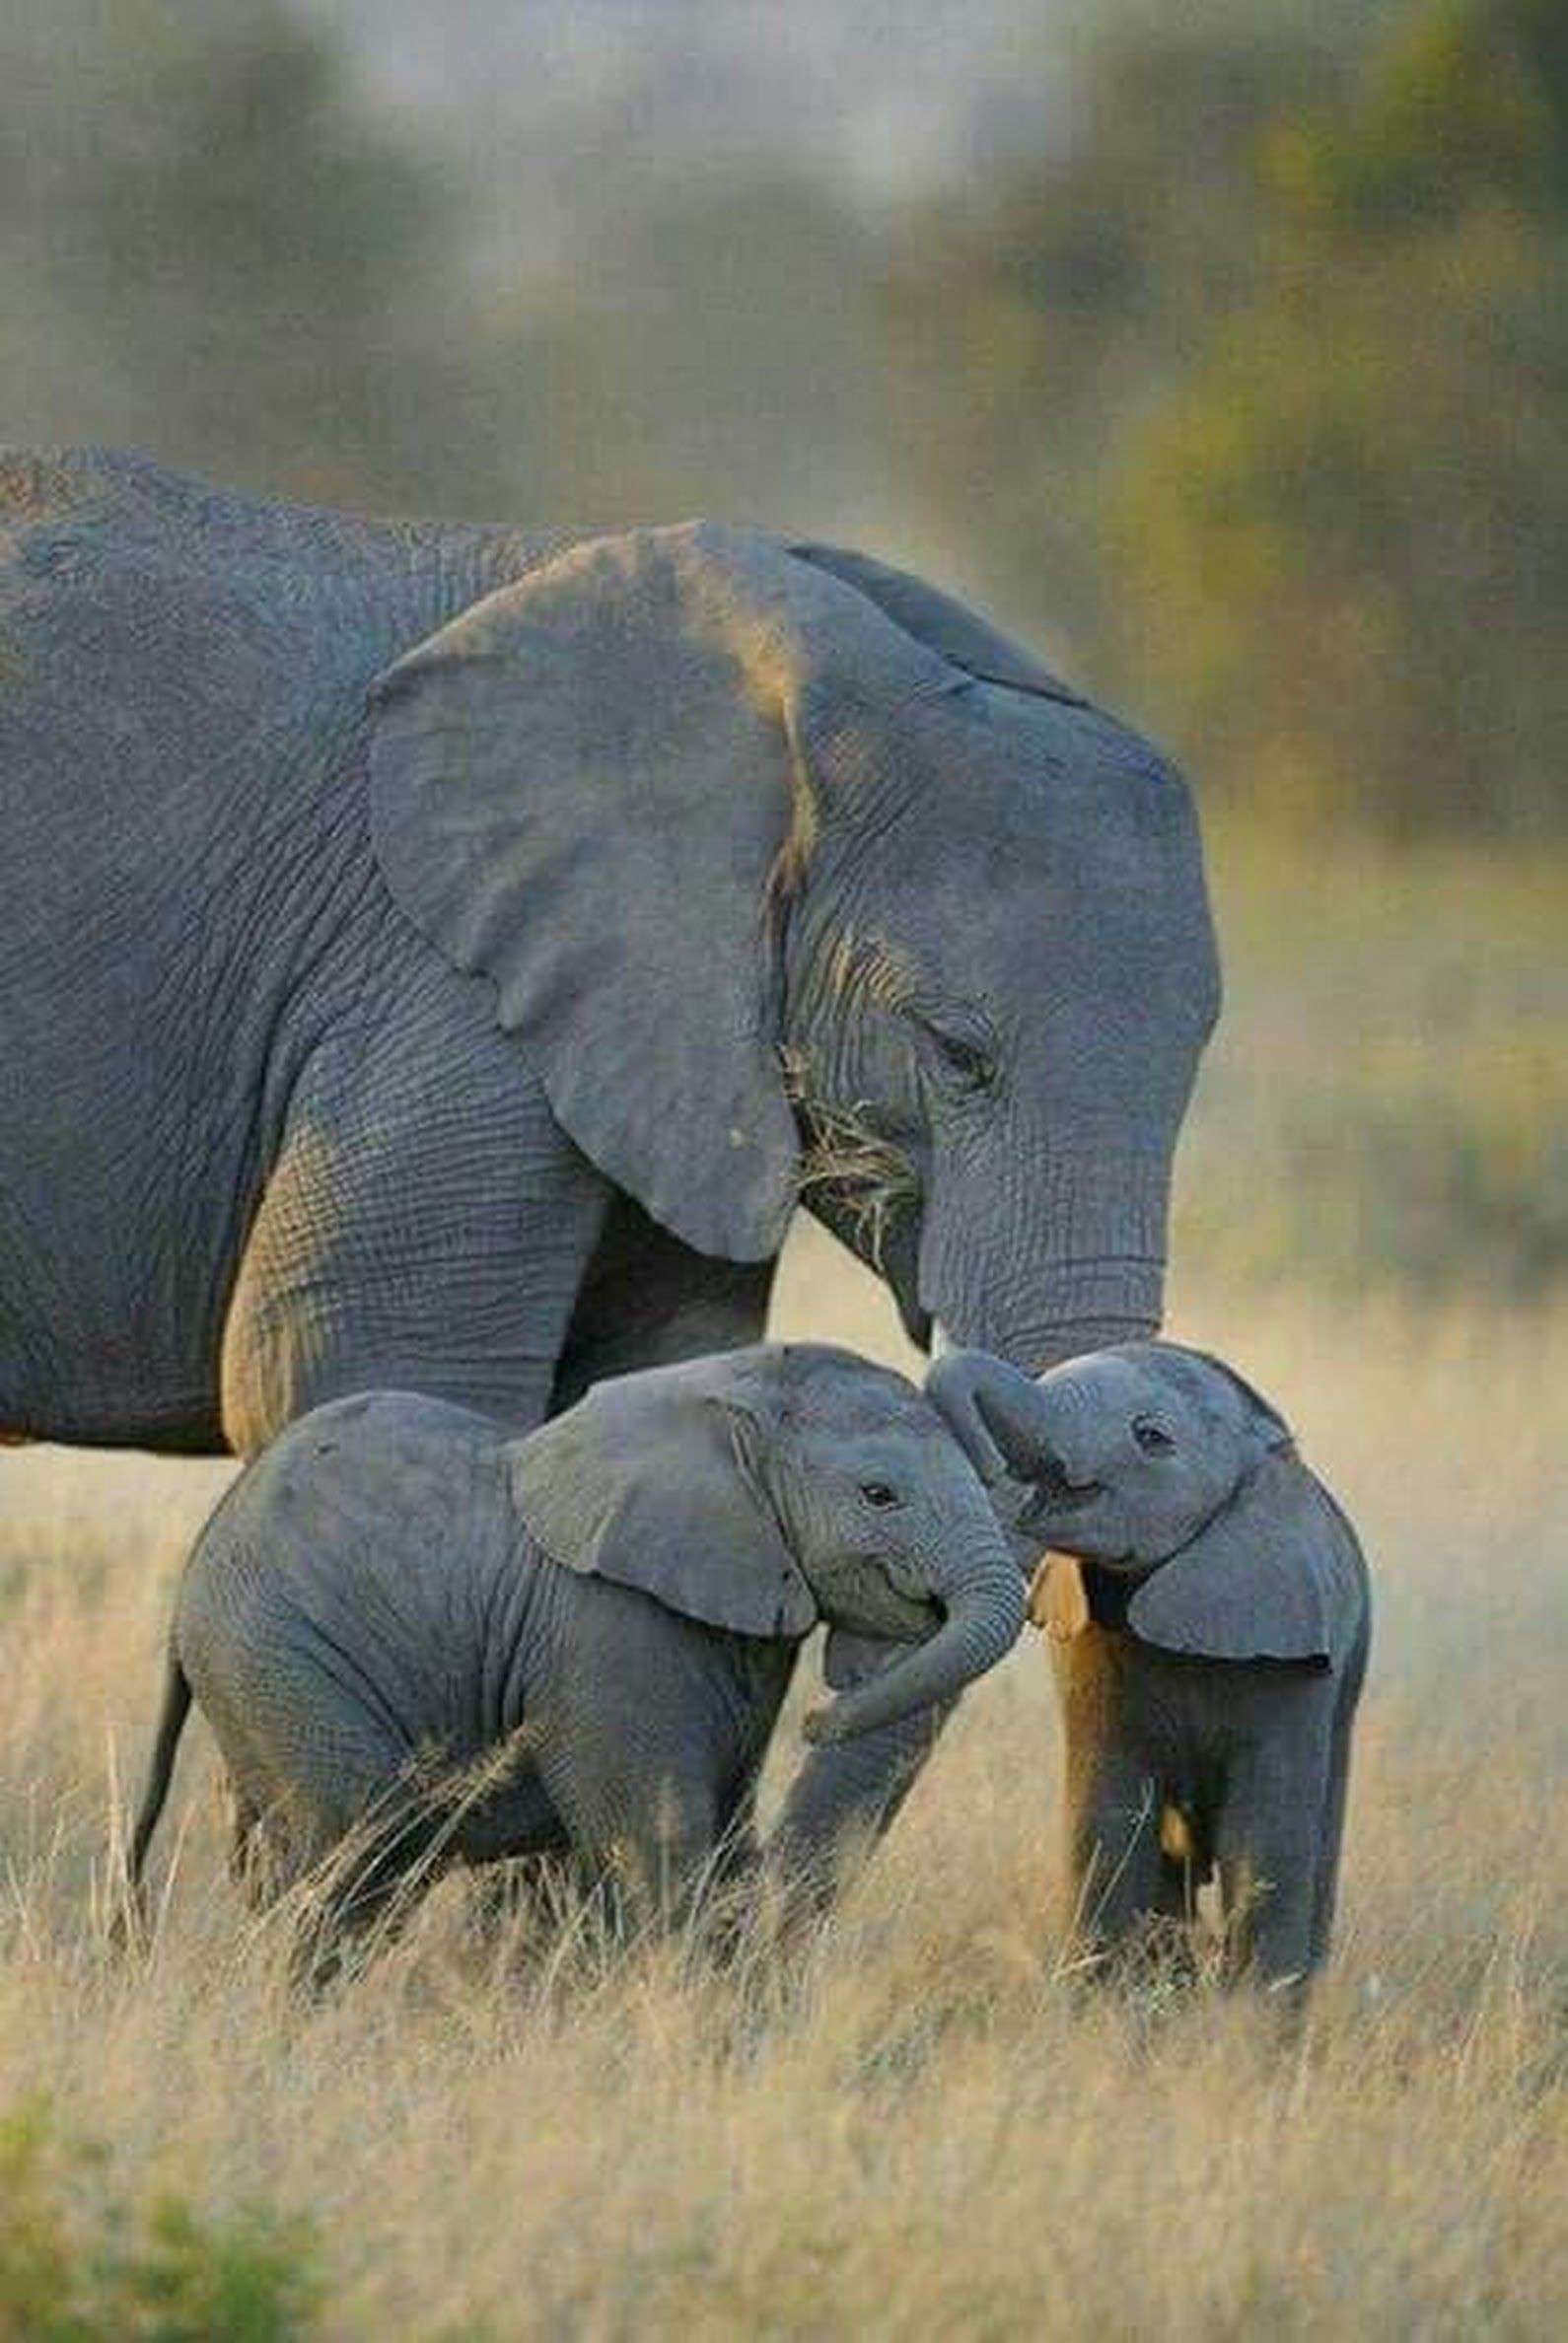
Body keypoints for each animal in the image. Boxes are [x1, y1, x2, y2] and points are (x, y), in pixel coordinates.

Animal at [126, 1344, 1024, 1959]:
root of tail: (199, 1562)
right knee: (360, 1851)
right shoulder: (611, 1631)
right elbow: (661, 1845)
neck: (729, 1394)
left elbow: (727, 1847)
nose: (818, 1720)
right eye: (880, 1495)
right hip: (276, 1657)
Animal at [927, 1342, 1370, 1990]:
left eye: (1152, 1437)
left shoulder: (1294, 1651)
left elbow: (1264, 1838)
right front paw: (1103, 2007)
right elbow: (1107, 1821)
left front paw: (1251, 2019)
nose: (987, 1470)